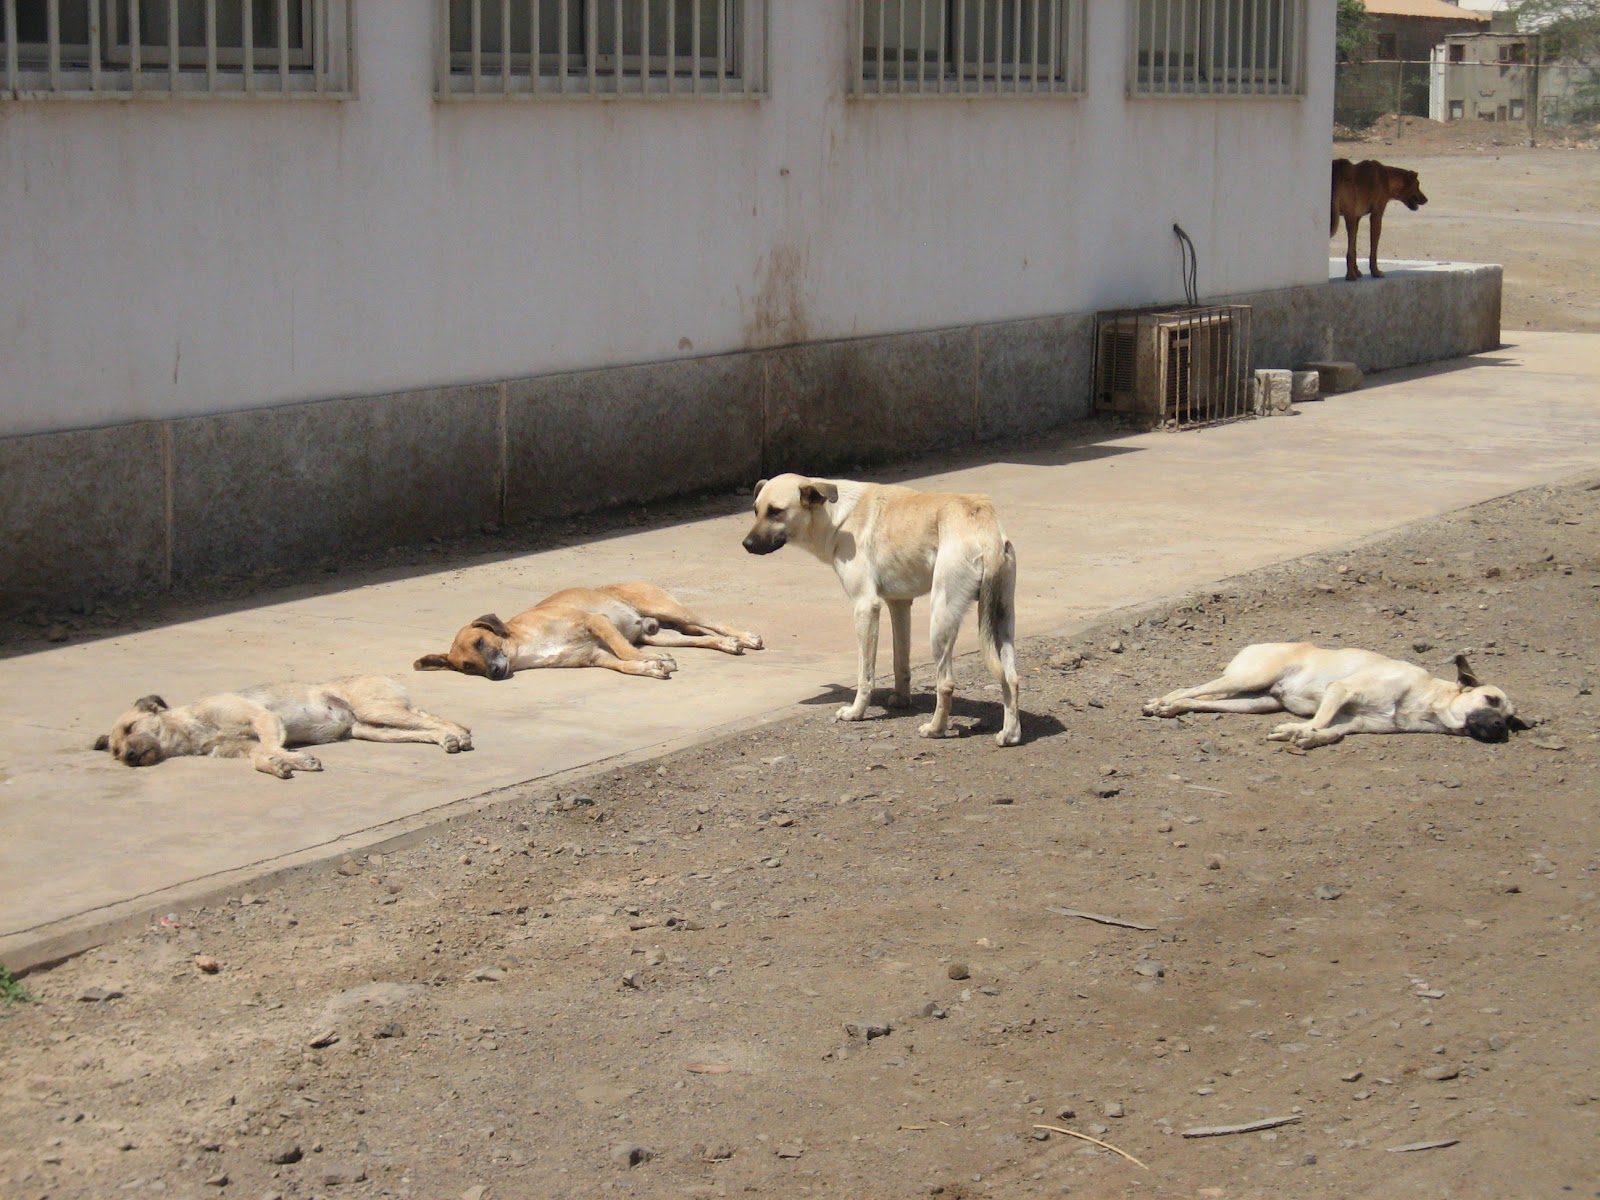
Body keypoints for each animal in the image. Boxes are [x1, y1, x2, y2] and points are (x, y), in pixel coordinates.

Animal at [94, 678, 470, 780]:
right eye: (115, 751)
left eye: (131, 726)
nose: (129, 757)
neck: (193, 729)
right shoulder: (243, 748)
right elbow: (260, 757)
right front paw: (282, 764)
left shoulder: (262, 719)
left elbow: (269, 746)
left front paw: (295, 760)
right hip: (373, 729)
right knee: (425, 728)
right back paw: (447, 739)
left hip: (377, 709)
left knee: (435, 719)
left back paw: (460, 734)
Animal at [412, 585, 761, 681]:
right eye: (467, 666)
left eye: (481, 641)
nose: (496, 673)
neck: (523, 647)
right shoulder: (593, 657)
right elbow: (624, 664)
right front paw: (650, 666)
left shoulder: (596, 622)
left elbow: (624, 651)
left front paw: (653, 662)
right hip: (659, 633)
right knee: (700, 637)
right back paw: (728, 644)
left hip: (670, 609)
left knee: (712, 622)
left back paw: (744, 636)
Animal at [739, 473, 1017, 748]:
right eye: (756, 510)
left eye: (776, 511)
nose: (746, 544)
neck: (837, 516)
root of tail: (986, 528)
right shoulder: (899, 603)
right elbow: (900, 662)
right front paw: (901, 700)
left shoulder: (865, 608)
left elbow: (865, 674)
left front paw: (856, 712)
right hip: (1002, 623)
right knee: (1011, 678)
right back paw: (1010, 734)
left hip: (941, 620)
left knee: (946, 682)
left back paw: (935, 729)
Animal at [1145, 643, 1516, 748]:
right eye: (1491, 700)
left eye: (1512, 719)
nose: (1501, 727)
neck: (1425, 703)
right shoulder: (1340, 690)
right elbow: (1319, 720)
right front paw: (1299, 729)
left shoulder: (1352, 723)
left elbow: (1330, 732)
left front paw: (1303, 735)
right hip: (1252, 676)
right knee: (1186, 689)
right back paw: (1162, 702)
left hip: (1255, 702)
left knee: (1196, 699)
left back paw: (1173, 708)